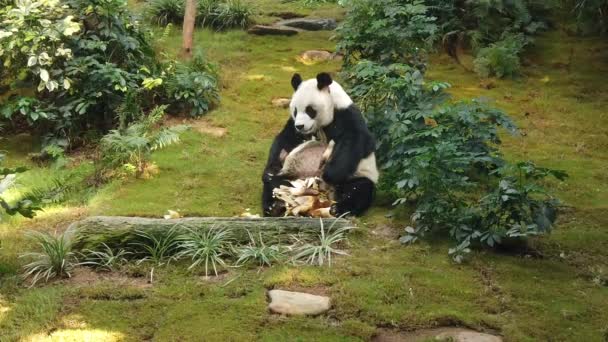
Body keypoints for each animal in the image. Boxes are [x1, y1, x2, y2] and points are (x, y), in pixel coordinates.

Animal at [262, 73, 378, 216]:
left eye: (309, 110)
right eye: (295, 111)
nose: (300, 126)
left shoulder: (347, 115)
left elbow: (356, 140)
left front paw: (329, 173)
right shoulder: (292, 126)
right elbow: (284, 139)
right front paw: (272, 168)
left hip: (357, 175)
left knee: (359, 189)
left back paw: (338, 209)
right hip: (289, 178)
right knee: (273, 184)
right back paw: (274, 206)